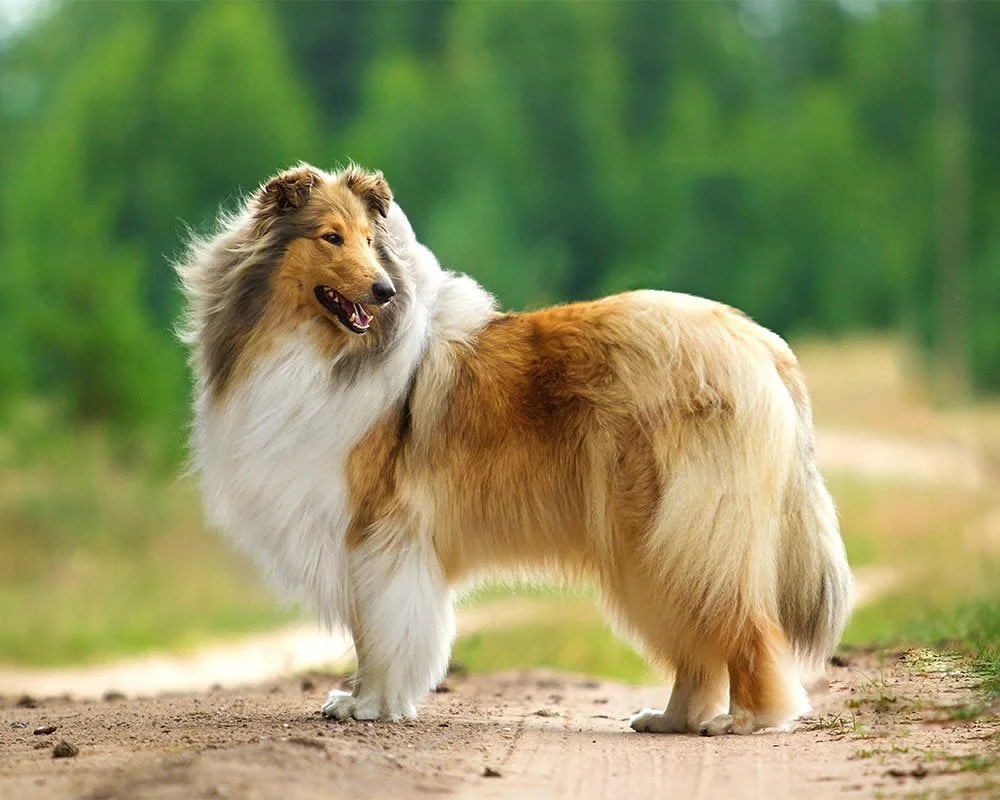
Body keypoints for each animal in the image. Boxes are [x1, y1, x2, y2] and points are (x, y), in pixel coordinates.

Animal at [176, 162, 848, 736]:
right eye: (331, 237)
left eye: (370, 238)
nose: (385, 290)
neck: (315, 348)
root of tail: (758, 341)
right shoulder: (365, 539)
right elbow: (370, 632)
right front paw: (363, 699)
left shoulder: (380, 533)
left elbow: (382, 631)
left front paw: (371, 705)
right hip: (653, 543)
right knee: (697, 645)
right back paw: (670, 718)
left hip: (681, 533)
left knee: (743, 628)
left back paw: (747, 720)